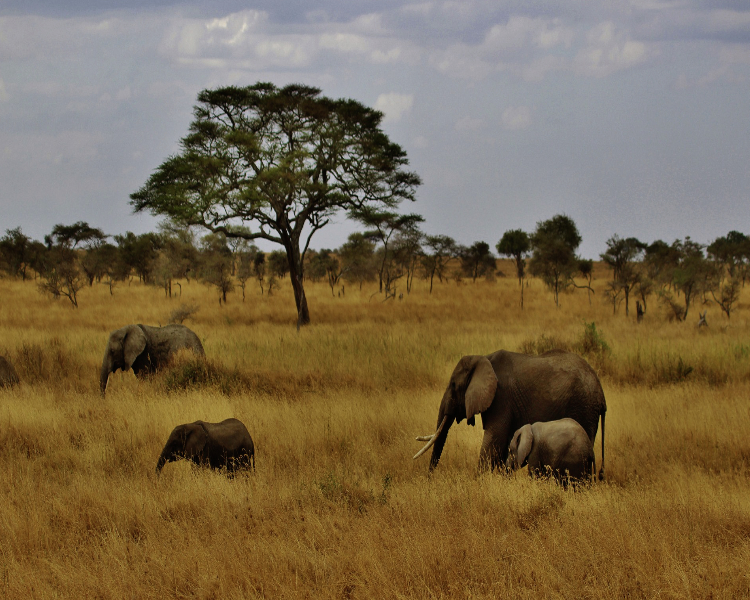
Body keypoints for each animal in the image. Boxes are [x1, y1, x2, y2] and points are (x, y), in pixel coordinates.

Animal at [414, 346, 608, 478]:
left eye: (454, 385)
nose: (429, 478)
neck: (483, 358)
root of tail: (601, 392)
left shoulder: (501, 397)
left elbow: (494, 441)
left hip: (584, 407)